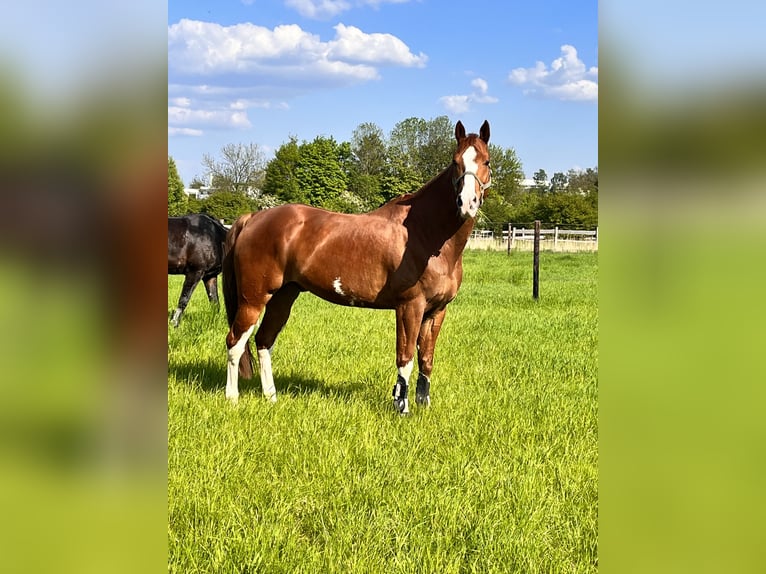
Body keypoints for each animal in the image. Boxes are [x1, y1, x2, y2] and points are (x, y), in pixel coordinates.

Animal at [222, 121, 492, 416]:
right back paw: (232, 398)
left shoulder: (437, 311)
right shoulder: (410, 307)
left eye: (486, 161)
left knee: (264, 341)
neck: (425, 233)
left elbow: (426, 358)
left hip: (283, 296)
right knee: (235, 342)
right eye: (455, 162)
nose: (467, 203)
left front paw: (424, 404)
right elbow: (406, 357)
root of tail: (253, 218)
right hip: (253, 299)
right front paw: (402, 407)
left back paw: (271, 397)